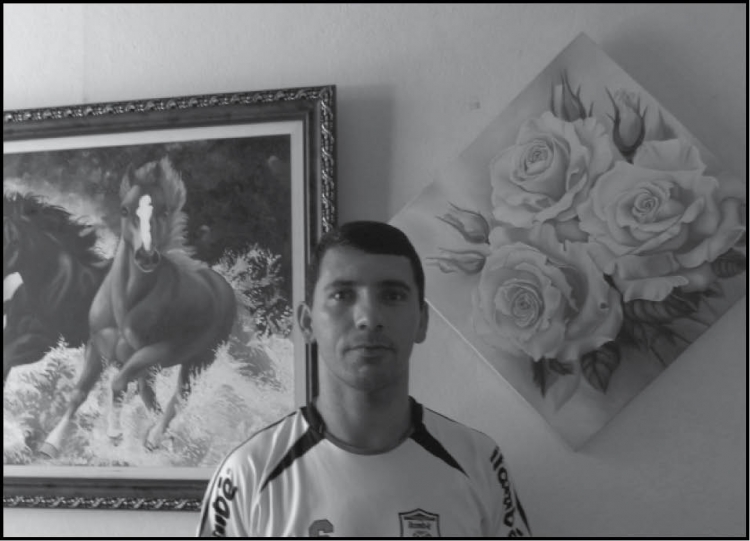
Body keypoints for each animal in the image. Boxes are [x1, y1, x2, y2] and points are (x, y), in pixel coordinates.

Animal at [40, 157, 237, 456]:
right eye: (125, 209)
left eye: (164, 210)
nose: (146, 257)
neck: (126, 305)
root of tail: (222, 285)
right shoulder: (97, 346)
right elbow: (79, 391)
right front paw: (51, 443)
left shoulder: (155, 352)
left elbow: (118, 384)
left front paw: (114, 434)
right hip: (154, 368)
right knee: (150, 395)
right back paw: (161, 438)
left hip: (196, 362)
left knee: (178, 399)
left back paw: (155, 438)